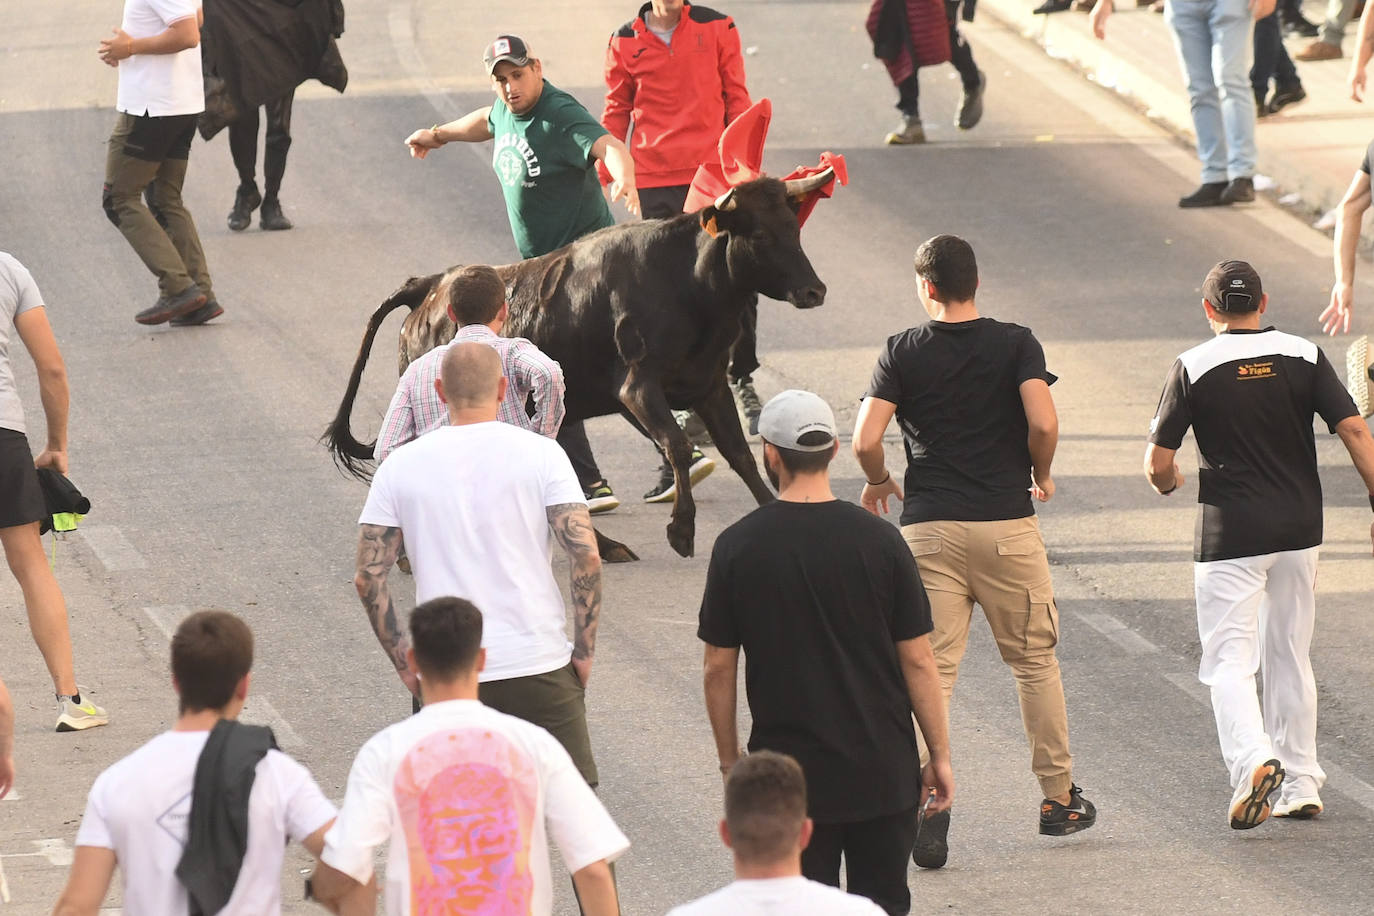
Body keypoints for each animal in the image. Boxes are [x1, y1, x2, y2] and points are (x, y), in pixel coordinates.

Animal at [327, 173, 829, 560]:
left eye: (795, 228)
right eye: (759, 235)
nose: (814, 291)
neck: (688, 284)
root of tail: (431, 285)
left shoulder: (708, 385)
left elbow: (740, 455)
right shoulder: (638, 388)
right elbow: (678, 445)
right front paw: (682, 531)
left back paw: (602, 546)